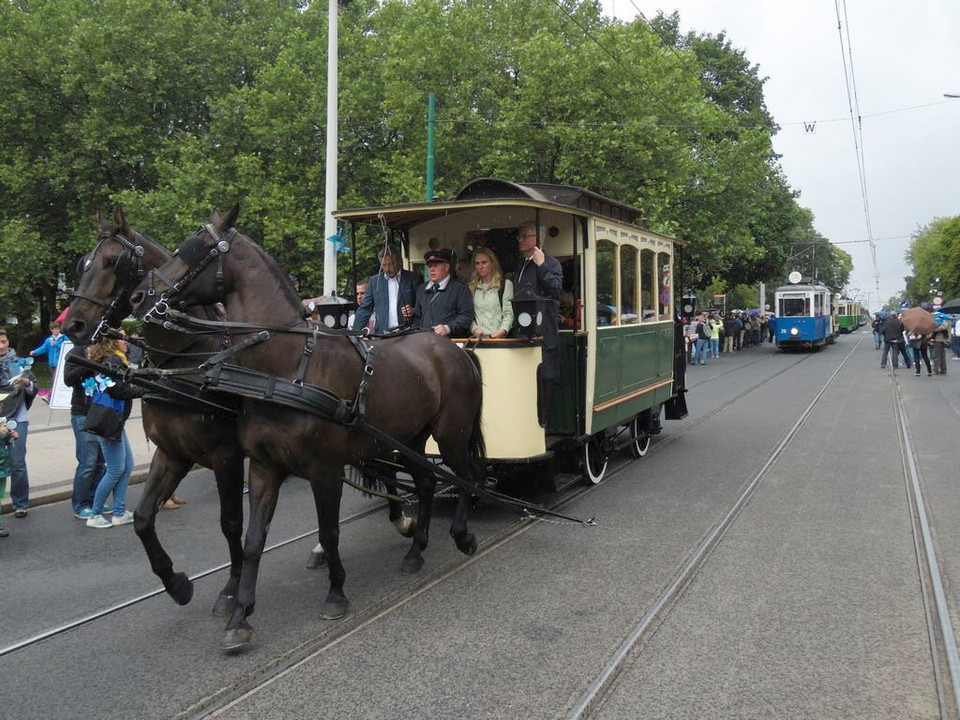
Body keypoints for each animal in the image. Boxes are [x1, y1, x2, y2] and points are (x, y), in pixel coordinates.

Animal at [127, 207, 484, 652]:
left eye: (197, 249)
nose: (139, 297)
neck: (286, 366)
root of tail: (454, 349)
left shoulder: (323, 470)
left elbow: (329, 532)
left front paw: (336, 593)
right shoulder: (263, 466)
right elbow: (253, 540)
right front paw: (240, 616)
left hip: (451, 435)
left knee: (466, 478)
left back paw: (462, 535)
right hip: (411, 439)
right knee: (425, 482)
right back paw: (416, 551)